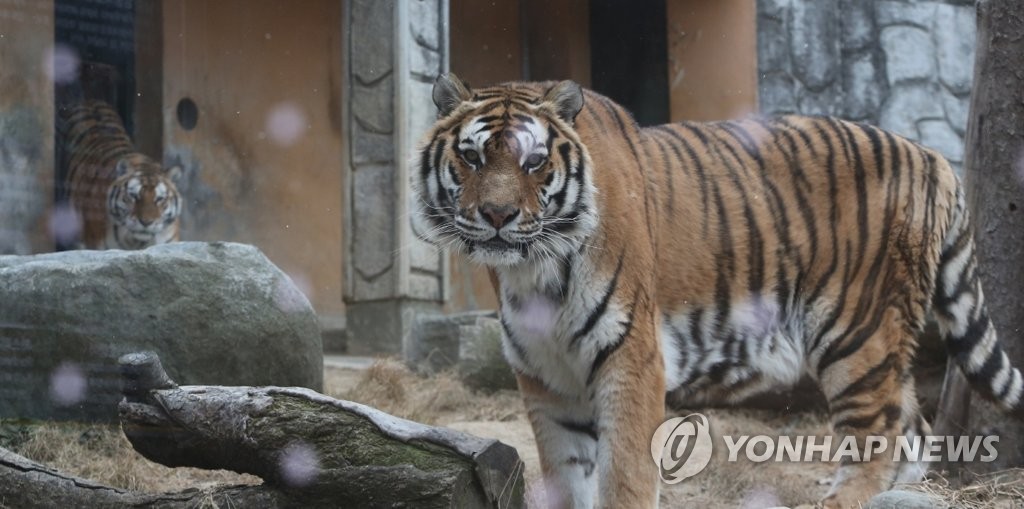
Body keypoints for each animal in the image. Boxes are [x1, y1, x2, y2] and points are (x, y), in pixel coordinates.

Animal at [409, 72, 1024, 507]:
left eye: (535, 161)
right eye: (472, 156)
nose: (497, 215)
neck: (533, 270)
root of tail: (933, 155)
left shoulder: (630, 358)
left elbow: (625, 476)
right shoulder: (546, 376)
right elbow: (566, 476)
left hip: (859, 330)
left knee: (881, 431)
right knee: (914, 427)